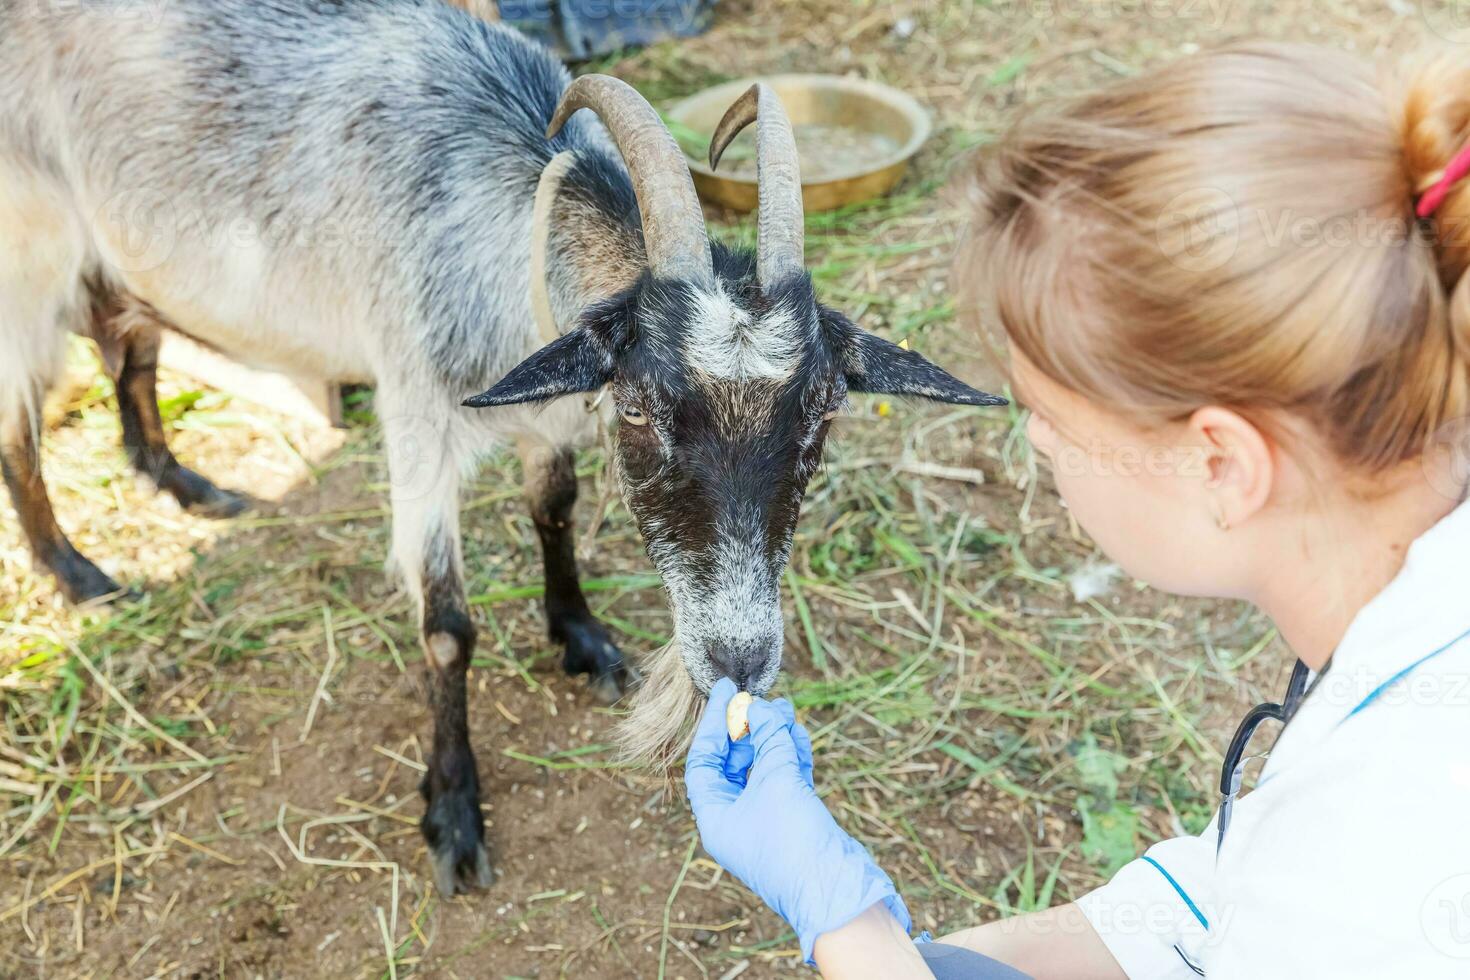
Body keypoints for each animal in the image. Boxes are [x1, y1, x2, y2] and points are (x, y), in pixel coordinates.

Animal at [0, 0, 999, 899]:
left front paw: (582, 637)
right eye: (640, 409)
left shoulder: (547, 418)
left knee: (127, 346)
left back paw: (179, 481)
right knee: (22, 428)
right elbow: (447, 627)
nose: (739, 661)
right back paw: (78, 573)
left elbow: (553, 508)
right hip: (29, 264)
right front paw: (453, 813)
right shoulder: (416, 414)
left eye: (823, 416)